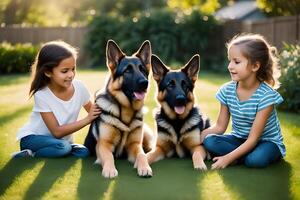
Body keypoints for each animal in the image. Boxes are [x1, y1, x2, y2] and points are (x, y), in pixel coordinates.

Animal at [84, 39, 155, 177]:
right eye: (127, 71)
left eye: (143, 70)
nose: (145, 83)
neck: (126, 111)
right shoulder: (103, 145)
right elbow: (109, 156)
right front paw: (110, 170)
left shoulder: (135, 145)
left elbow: (142, 155)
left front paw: (145, 167)